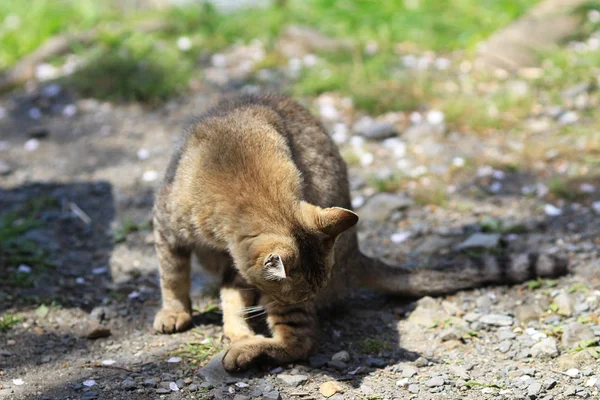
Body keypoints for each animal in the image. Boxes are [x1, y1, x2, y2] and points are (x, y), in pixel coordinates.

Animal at [151, 94, 568, 372]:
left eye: (309, 291)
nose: (312, 297)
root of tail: (355, 255)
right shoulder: (170, 230)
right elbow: (174, 277)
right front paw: (177, 312)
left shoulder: (239, 266)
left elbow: (215, 291)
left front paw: (236, 334)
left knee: (301, 343)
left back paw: (249, 350)